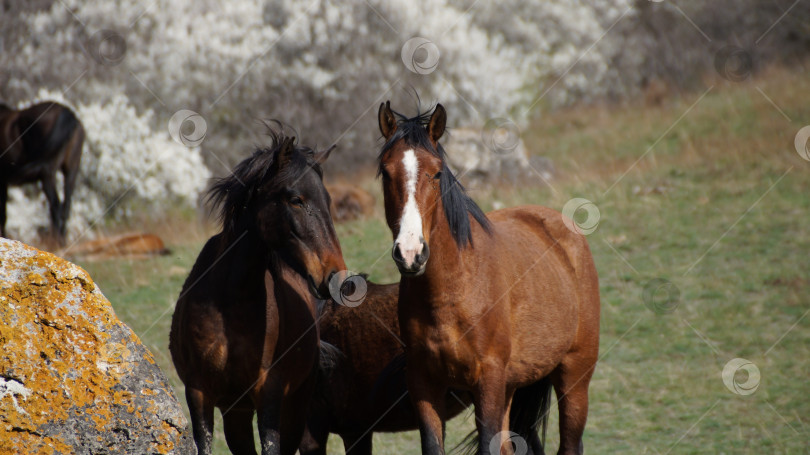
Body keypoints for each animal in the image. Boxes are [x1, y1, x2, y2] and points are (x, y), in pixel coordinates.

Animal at [0, 102, 84, 246]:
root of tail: (67, 113)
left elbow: (3, 214)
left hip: (48, 172)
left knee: (55, 205)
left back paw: (55, 242)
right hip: (71, 168)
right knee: (66, 205)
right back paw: (62, 241)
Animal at [169, 129, 346, 455]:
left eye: (327, 200)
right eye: (295, 199)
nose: (337, 279)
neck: (230, 303)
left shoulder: (270, 395)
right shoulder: (199, 394)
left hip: (295, 406)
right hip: (236, 414)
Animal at [376, 103, 596, 455]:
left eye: (436, 173)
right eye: (386, 172)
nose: (410, 253)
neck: (452, 290)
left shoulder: (487, 382)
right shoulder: (424, 384)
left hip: (574, 378)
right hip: (512, 386)